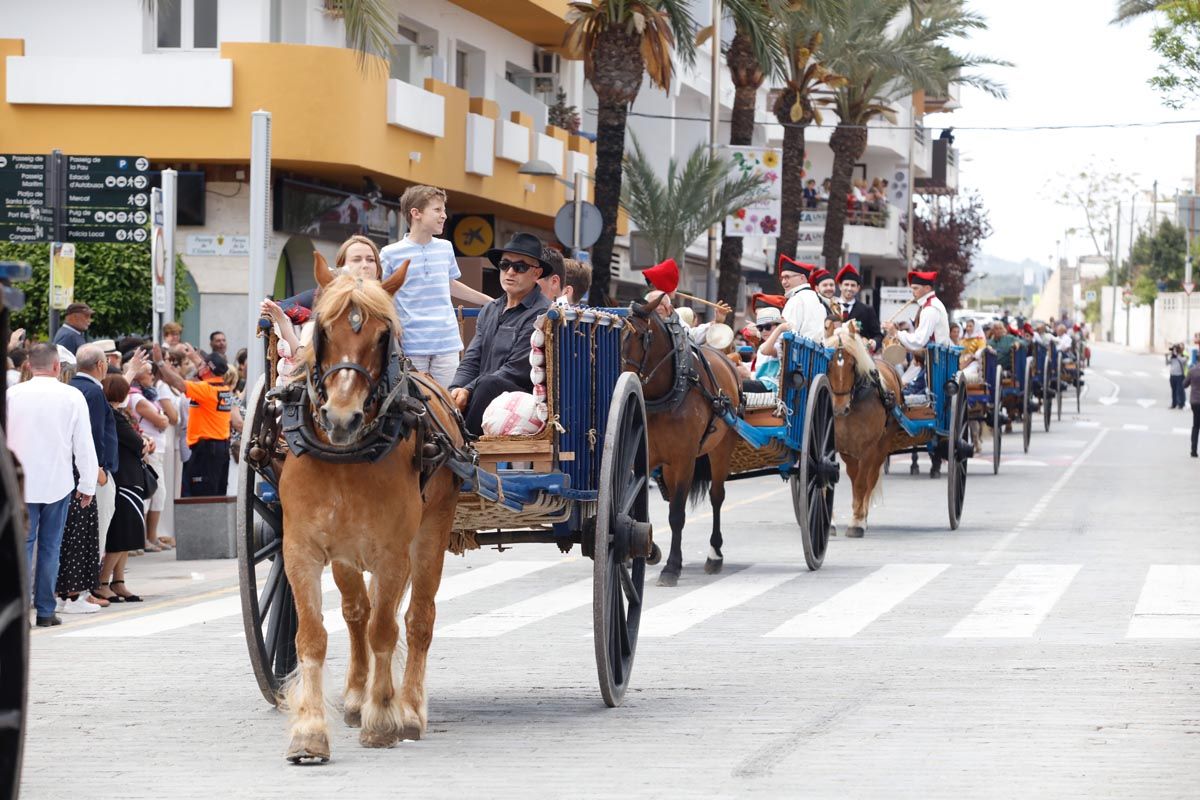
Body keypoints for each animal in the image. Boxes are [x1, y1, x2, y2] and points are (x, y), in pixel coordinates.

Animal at [278, 253, 465, 762]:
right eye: (322, 329)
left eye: (383, 336)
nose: (342, 417)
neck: (346, 457)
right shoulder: (300, 549)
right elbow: (314, 634)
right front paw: (310, 731)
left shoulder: (392, 554)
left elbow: (387, 630)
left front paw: (383, 718)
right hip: (345, 555)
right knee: (356, 612)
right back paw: (356, 696)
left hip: (432, 532)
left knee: (418, 619)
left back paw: (410, 708)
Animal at [624, 293, 744, 587]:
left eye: (641, 336)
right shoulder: (643, 457)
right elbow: (635, 505)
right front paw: (645, 550)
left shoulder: (685, 459)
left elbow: (677, 514)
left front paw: (671, 567)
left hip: (721, 447)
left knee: (716, 496)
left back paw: (714, 555)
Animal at [825, 323, 916, 537]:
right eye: (828, 364)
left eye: (852, 364)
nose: (839, 409)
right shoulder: (839, 445)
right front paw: (830, 522)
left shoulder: (868, 448)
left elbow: (861, 483)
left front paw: (857, 522)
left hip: (882, 445)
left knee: (871, 478)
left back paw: (863, 517)